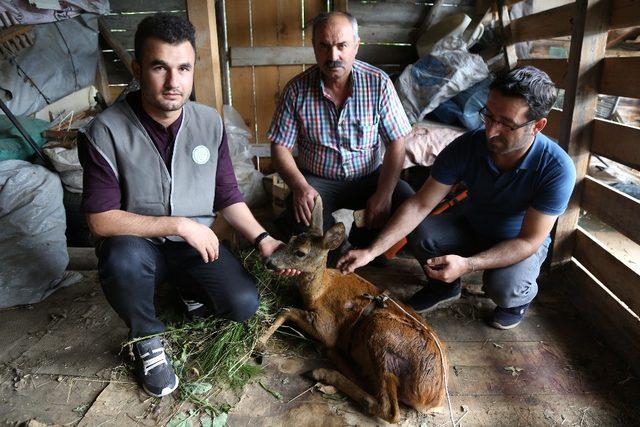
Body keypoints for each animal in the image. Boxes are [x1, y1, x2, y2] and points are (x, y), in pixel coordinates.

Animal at [256, 196, 450, 424]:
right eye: (292, 238)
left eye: (301, 253)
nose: (269, 261)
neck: (319, 290)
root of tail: (432, 398)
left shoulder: (327, 325)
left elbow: (286, 310)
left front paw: (259, 345)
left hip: (381, 333)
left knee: (389, 410)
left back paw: (324, 372)